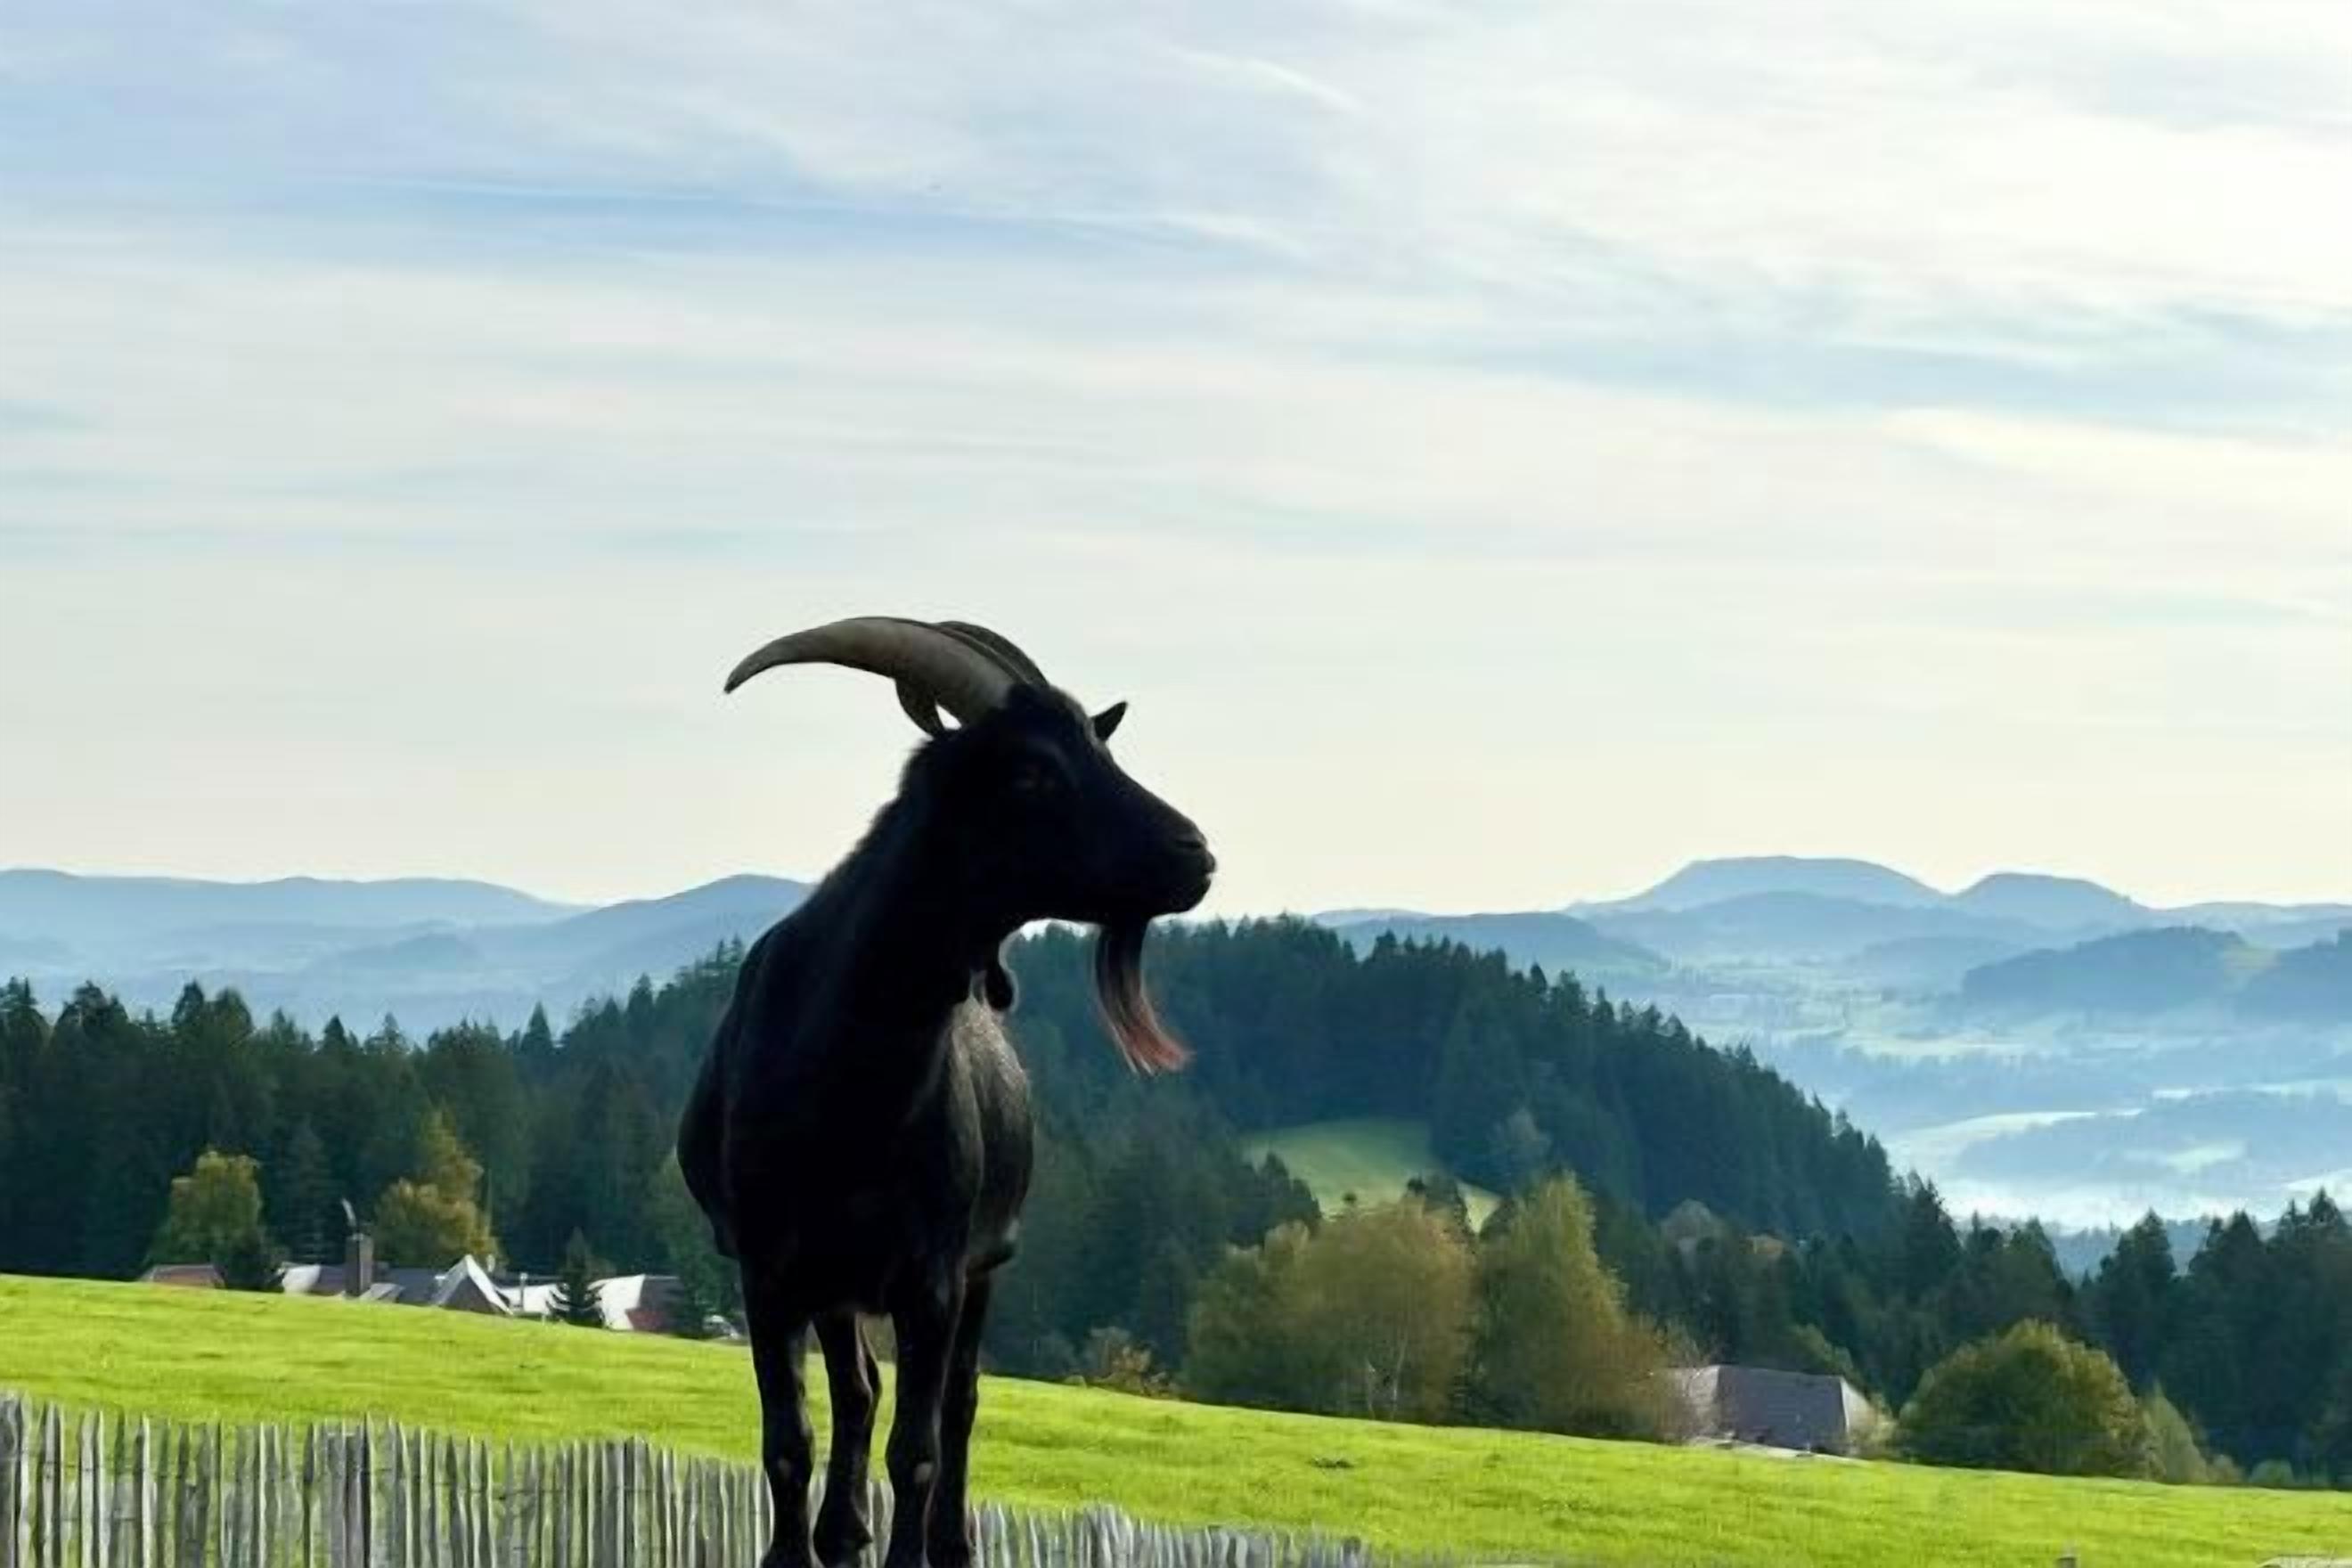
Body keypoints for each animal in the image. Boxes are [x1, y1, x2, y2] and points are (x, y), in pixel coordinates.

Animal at [678, 616, 1215, 1568]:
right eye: (1034, 770)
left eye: (1099, 746)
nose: (1195, 853)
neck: (846, 1078)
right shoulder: (769, 1270)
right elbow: (789, 1441)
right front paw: (794, 1549)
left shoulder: (932, 1273)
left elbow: (919, 1449)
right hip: (839, 1283)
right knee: (857, 1390)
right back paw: (842, 1530)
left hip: (983, 1264)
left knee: (957, 1405)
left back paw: (947, 1540)